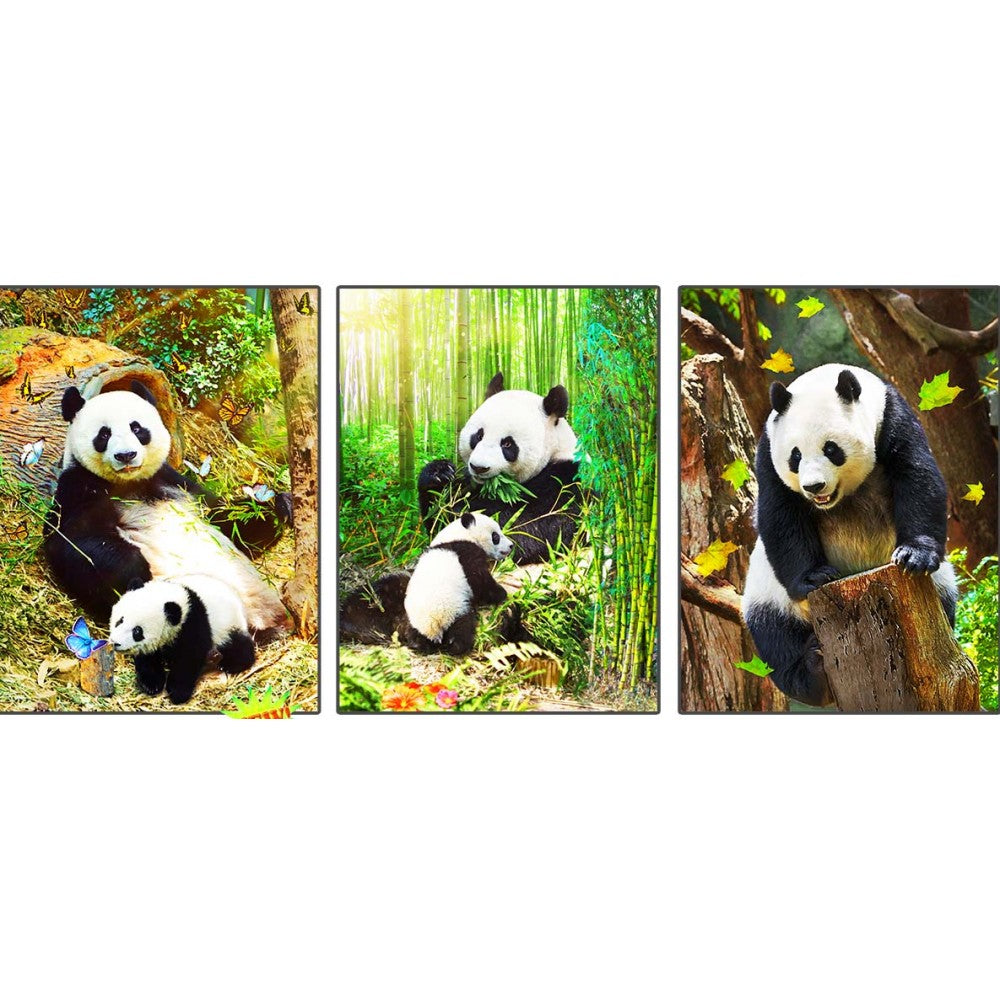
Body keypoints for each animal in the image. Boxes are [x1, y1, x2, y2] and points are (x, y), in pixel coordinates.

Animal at [43, 382, 290, 638]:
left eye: (136, 428)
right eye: (104, 434)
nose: (126, 455)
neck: (129, 483)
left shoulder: (176, 482)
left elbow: (227, 522)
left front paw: (279, 507)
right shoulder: (78, 488)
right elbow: (72, 541)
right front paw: (134, 566)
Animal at [109, 574, 256, 704]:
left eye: (137, 631)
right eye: (120, 621)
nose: (116, 643)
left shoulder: (193, 622)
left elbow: (189, 658)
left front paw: (177, 692)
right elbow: (148, 658)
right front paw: (151, 684)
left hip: (228, 625)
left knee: (238, 646)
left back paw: (230, 663)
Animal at [339, 512, 512, 655]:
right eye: (496, 536)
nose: (511, 546)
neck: (458, 535)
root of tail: (434, 625)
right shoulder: (465, 553)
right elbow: (480, 582)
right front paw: (501, 593)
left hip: (413, 620)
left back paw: (419, 645)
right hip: (457, 608)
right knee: (462, 629)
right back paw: (457, 646)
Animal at [418, 372, 583, 565]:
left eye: (507, 444)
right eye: (478, 435)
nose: (478, 467)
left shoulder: (567, 484)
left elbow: (530, 529)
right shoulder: (470, 483)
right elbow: (436, 522)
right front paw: (439, 474)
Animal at [741, 364, 958, 707]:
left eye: (831, 449)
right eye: (795, 456)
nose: (814, 487)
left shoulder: (891, 417)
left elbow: (916, 475)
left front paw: (914, 555)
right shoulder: (768, 450)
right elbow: (781, 513)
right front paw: (815, 577)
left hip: (940, 586)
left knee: (946, 600)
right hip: (768, 593)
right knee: (776, 640)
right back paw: (813, 672)